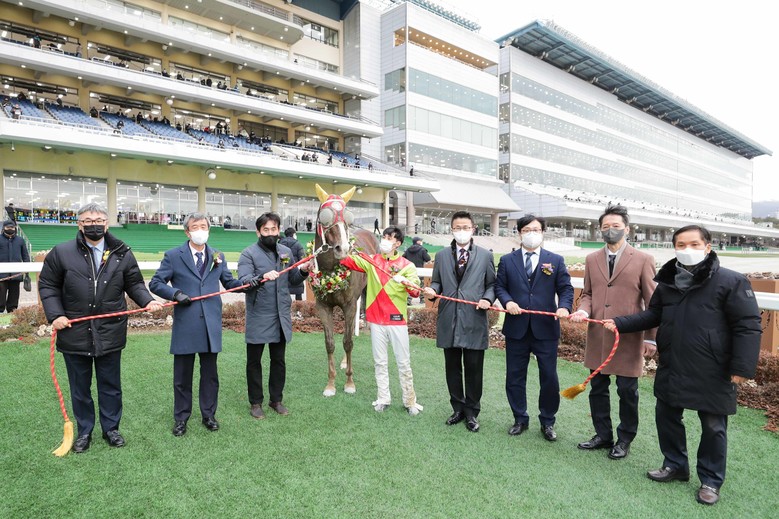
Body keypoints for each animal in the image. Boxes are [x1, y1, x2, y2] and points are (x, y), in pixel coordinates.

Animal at [312, 184, 378, 396]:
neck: (331, 269)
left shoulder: (349, 304)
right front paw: (331, 384)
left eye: (348, 217)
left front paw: (349, 383)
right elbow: (330, 343)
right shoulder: (323, 306)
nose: (344, 248)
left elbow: (348, 342)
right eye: (325, 217)